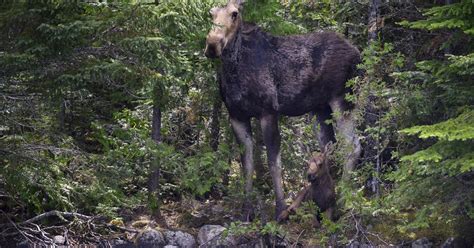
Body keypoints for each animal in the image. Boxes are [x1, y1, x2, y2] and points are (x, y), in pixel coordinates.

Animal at [205, 0, 362, 219]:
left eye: (234, 13)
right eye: (211, 14)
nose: (212, 44)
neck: (235, 71)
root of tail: (358, 53)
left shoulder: (268, 111)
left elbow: (273, 161)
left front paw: (279, 209)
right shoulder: (236, 115)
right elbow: (247, 163)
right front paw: (246, 210)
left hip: (343, 98)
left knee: (352, 146)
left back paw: (343, 200)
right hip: (320, 108)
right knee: (329, 146)